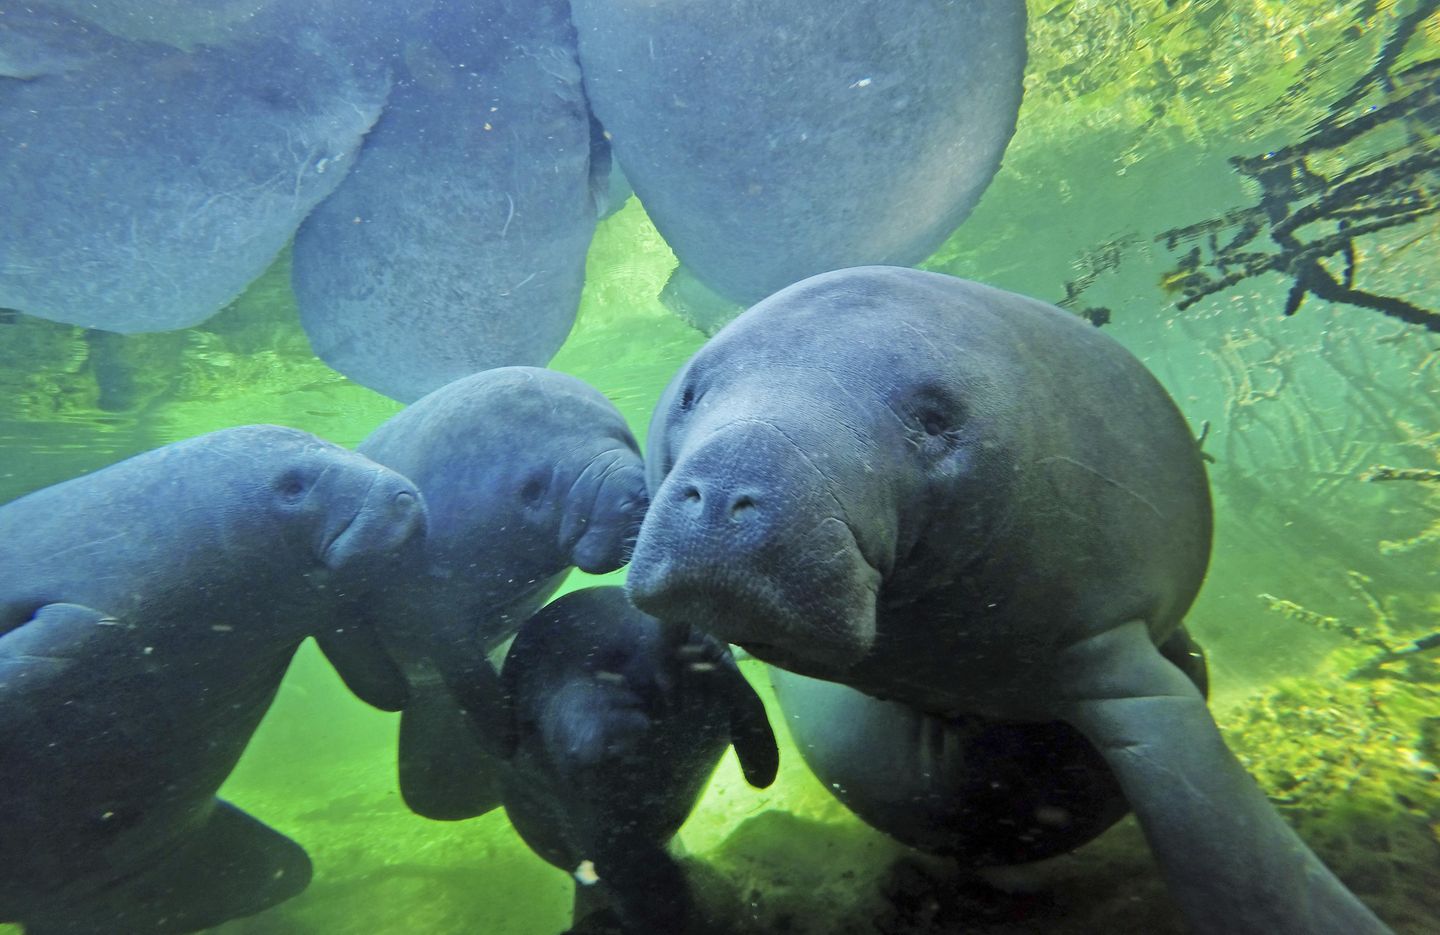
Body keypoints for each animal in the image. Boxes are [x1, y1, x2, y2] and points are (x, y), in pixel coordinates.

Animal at [0, 423, 426, 933]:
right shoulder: (77, 616)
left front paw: (397, 692)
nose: (405, 496)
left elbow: (371, 671)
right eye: (292, 487)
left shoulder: (322, 604)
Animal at [345, 364, 645, 818]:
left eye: (626, 438)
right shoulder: (439, 614)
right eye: (533, 490)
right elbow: (469, 675)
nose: (635, 496)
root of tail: (425, 688)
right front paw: (505, 739)